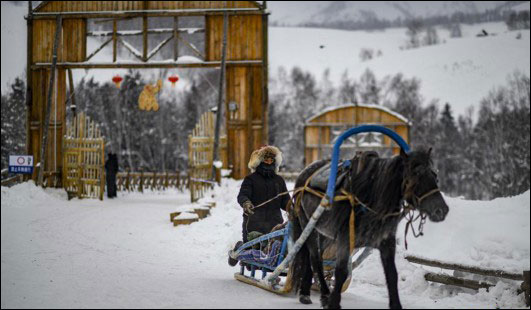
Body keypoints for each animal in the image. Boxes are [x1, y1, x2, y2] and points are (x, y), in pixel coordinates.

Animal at [290, 148, 448, 308]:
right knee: (315, 259)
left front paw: (396, 304)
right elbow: (341, 273)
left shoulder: (386, 242)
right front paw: (333, 302)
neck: (369, 199)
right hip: (308, 225)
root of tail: (304, 173)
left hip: (323, 233)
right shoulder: (345, 239)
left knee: (314, 258)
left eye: (434, 175)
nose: (441, 210)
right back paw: (323, 293)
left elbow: (392, 274)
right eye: (416, 175)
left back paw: (307, 292)